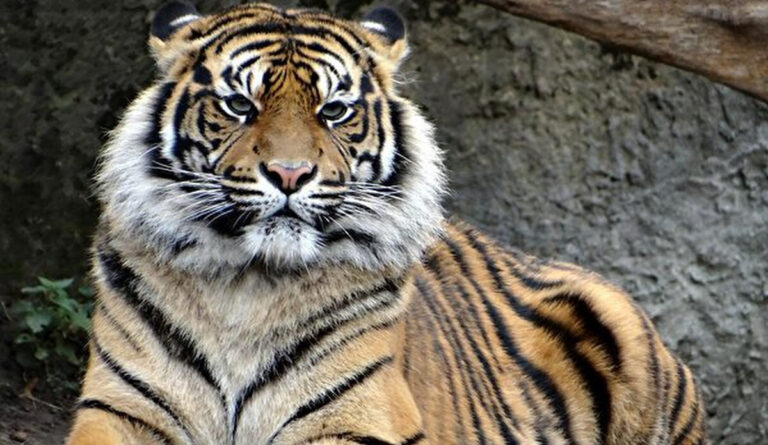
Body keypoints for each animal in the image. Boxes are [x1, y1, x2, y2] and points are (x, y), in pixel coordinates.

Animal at [65, 2, 709, 445]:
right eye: (239, 105)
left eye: (334, 110)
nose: (290, 174)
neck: (246, 289)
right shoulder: (119, 410)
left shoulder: (358, 417)